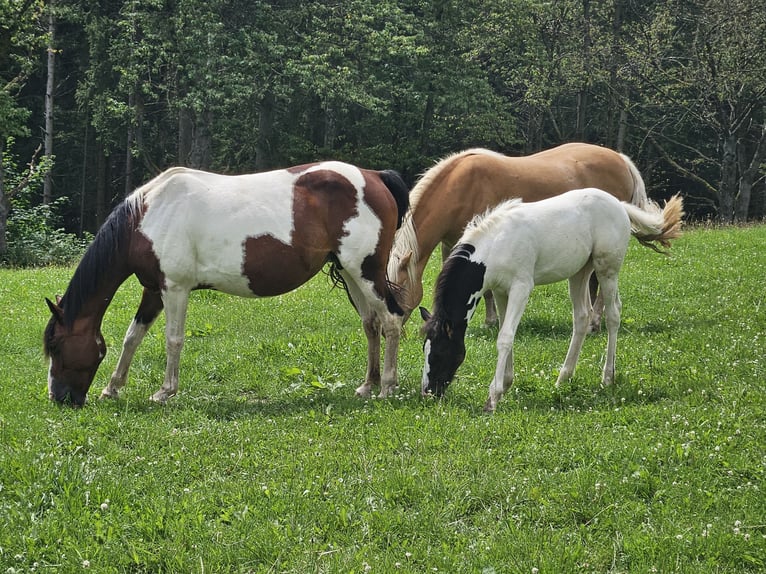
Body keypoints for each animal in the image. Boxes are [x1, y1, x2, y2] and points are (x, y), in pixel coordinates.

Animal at [45, 162, 412, 408]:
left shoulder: (174, 288)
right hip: (351, 272)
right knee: (371, 324)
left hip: (365, 271)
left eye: (58, 347)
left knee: (391, 320)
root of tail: (374, 176)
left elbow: (173, 340)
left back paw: (387, 386)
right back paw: (367, 385)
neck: (151, 215)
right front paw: (112, 388)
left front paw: (165, 391)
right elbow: (132, 337)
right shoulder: (154, 290)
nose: (60, 398)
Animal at [392, 144, 652, 330]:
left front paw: (490, 321)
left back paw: (596, 322)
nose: (389, 328)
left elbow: (487, 290)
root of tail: (621, 159)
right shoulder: (452, 245)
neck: (460, 187)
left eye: (399, 288)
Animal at [424, 189, 688, 414]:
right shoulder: (500, 291)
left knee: (613, 315)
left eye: (438, 353)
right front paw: (506, 384)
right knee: (582, 317)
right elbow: (504, 333)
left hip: (607, 269)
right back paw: (563, 378)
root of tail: (619, 205)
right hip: (580, 272)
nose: (428, 392)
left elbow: (506, 337)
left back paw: (607, 377)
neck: (496, 244)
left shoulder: (521, 287)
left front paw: (493, 397)